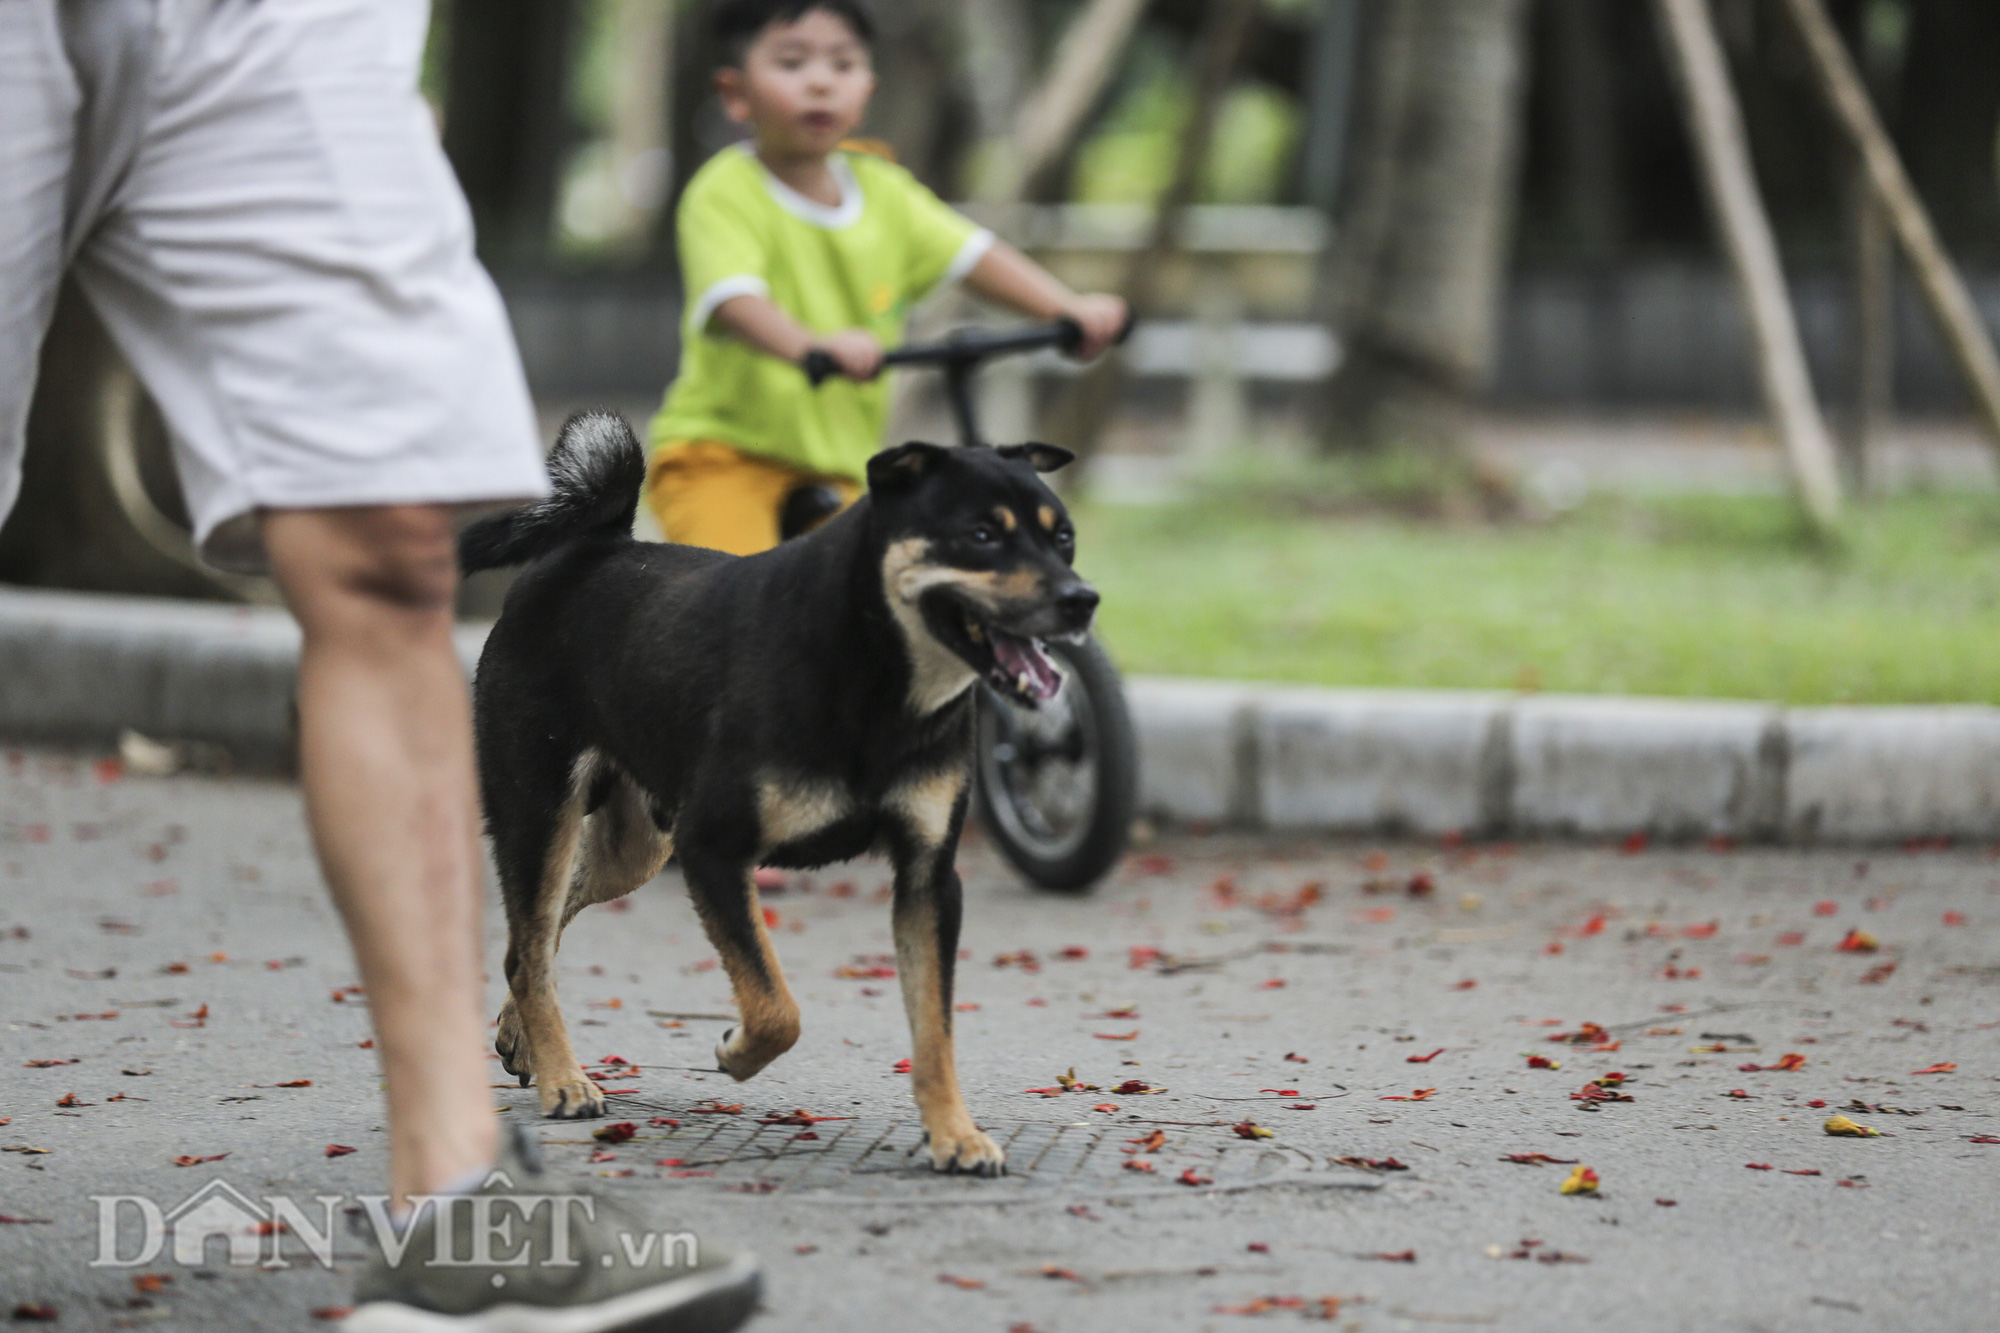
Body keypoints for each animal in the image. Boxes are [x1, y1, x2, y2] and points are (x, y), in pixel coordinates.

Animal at [458, 410, 1096, 1168]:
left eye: (1064, 537)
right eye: (981, 535)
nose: (1082, 600)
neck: (875, 670)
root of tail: (596, 545)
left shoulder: (928, 878)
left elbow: (934, 1029)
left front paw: (954, 1134)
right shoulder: (712, 848)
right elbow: (775, 1008)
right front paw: (736, 1052)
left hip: (633, 848)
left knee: (538, 933)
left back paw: (520, 1036)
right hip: (541, 810)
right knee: (529, 944)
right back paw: (563, 1077)